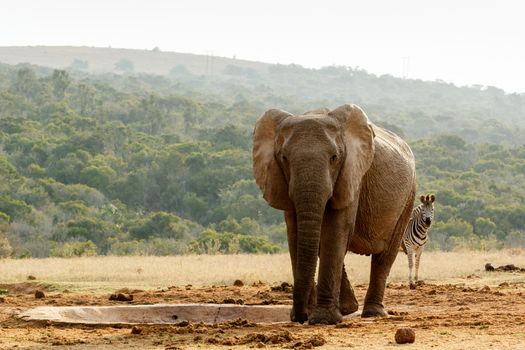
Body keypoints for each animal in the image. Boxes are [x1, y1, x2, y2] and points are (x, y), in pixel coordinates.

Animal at [252, 104, 416, 326]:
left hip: (409, 196)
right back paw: (348, 308)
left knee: (384, 256)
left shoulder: (352, 174)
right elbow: (295, 233)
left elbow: (335, 229)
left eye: (334, 158)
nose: (300, 317)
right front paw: (311, 315)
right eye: (284, 158)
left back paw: (372, 313)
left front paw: (323, 320)